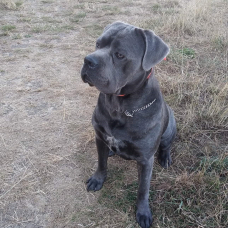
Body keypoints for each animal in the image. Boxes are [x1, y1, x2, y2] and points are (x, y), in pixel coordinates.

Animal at [80, 21, 176, 228]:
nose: (88, 60)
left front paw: (143, 212)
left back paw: (165, 158)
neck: (120, 106)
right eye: (98, 44)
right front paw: (98, 179)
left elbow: (143, 189)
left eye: (120, 55)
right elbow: (101, 163)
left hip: (171, 126)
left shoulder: (146, 160)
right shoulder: (99, 136)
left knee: (166, 145)